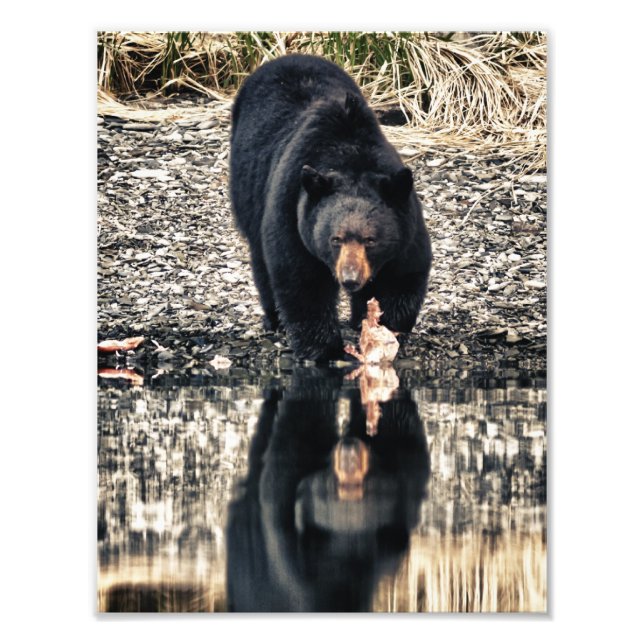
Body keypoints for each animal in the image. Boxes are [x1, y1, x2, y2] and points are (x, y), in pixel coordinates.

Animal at [229, 54, 432, 361]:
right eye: (335, 239)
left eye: (371, 240)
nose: (350, 279)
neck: (350, 154)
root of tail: (289, 56)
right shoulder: (293, 209)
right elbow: (301, 281)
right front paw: (326, 351)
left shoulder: (405, 221)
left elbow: (402, 276)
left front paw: (384, 334)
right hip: (248, 190)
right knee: (260, 256)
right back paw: (274, 319)